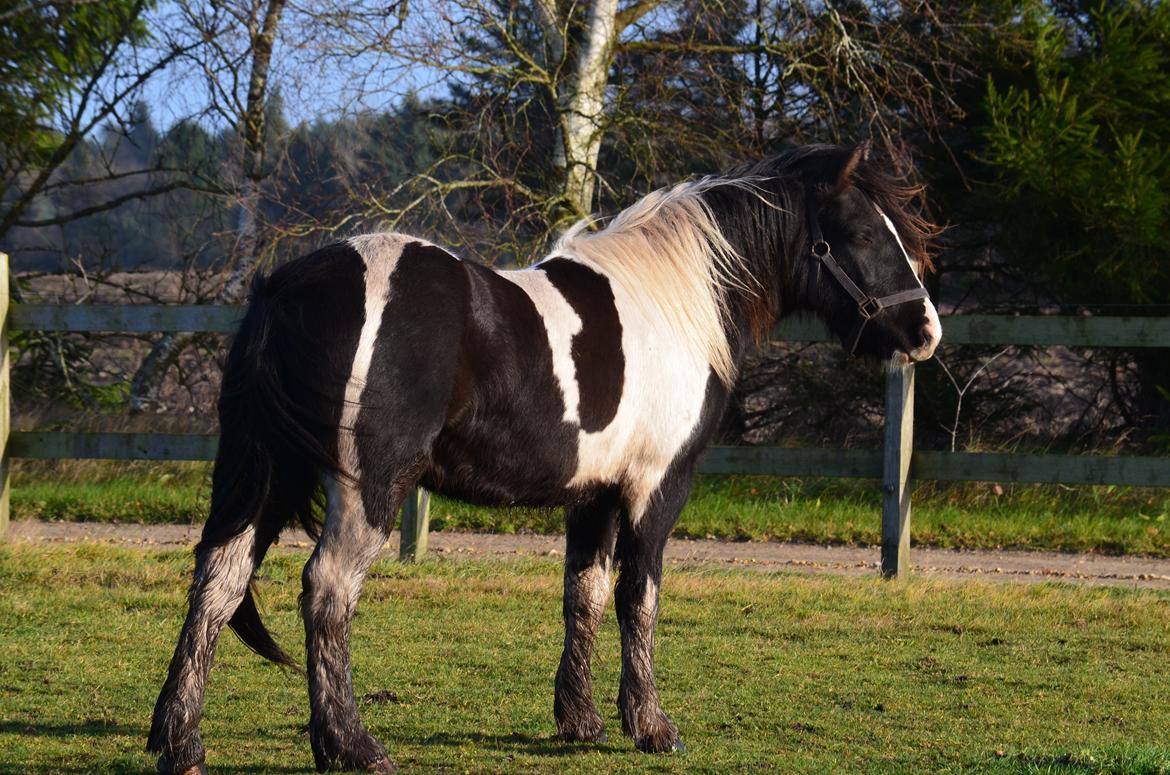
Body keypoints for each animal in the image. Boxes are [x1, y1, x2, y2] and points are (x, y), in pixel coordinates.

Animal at [150, 142, 945, 772]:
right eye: (860, 231)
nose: (925, 329)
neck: (676, 304)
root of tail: (286, 287)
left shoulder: (593, 493)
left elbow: (583, 593)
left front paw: (580, 721)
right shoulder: (657, 487)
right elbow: (639, 596)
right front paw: (651, 726)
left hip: (262, 475)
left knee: (218, 581)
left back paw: (181, 744)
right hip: (368, 486)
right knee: (327, 590)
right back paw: (351, 744)